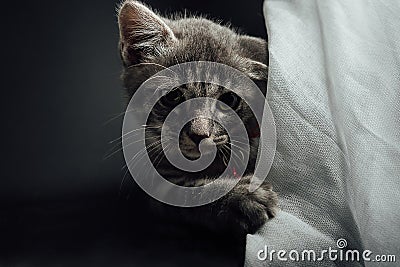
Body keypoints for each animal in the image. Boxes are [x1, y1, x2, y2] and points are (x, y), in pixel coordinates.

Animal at [117, 1, 276, 238]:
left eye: (228, 99)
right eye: (173, 97)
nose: (199, 134)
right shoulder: (157, 186)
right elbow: (188, 194)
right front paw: (239, 197)